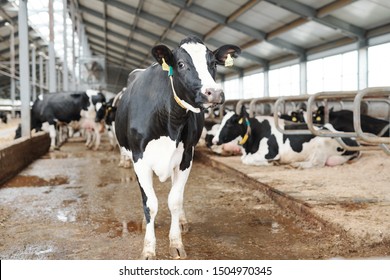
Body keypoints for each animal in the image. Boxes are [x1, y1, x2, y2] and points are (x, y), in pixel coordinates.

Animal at [114, 36, 239, 260]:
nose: (214, 93)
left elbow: (174, 200)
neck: (170, 119)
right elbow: (150, 204)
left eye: (213, 63)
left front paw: (176, 243)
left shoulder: (186, 157)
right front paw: (148, 249)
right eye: (181, 64)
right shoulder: (139, 160)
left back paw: (181, 221)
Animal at [213, 106, 360, 168]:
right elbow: (243, 159)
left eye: (229, 123)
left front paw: (272, 163)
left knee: (317, 163)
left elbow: (246, 160)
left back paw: (297, 164)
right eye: (222, 121)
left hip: (322, 143)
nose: (215, 140)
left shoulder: (270, 153)